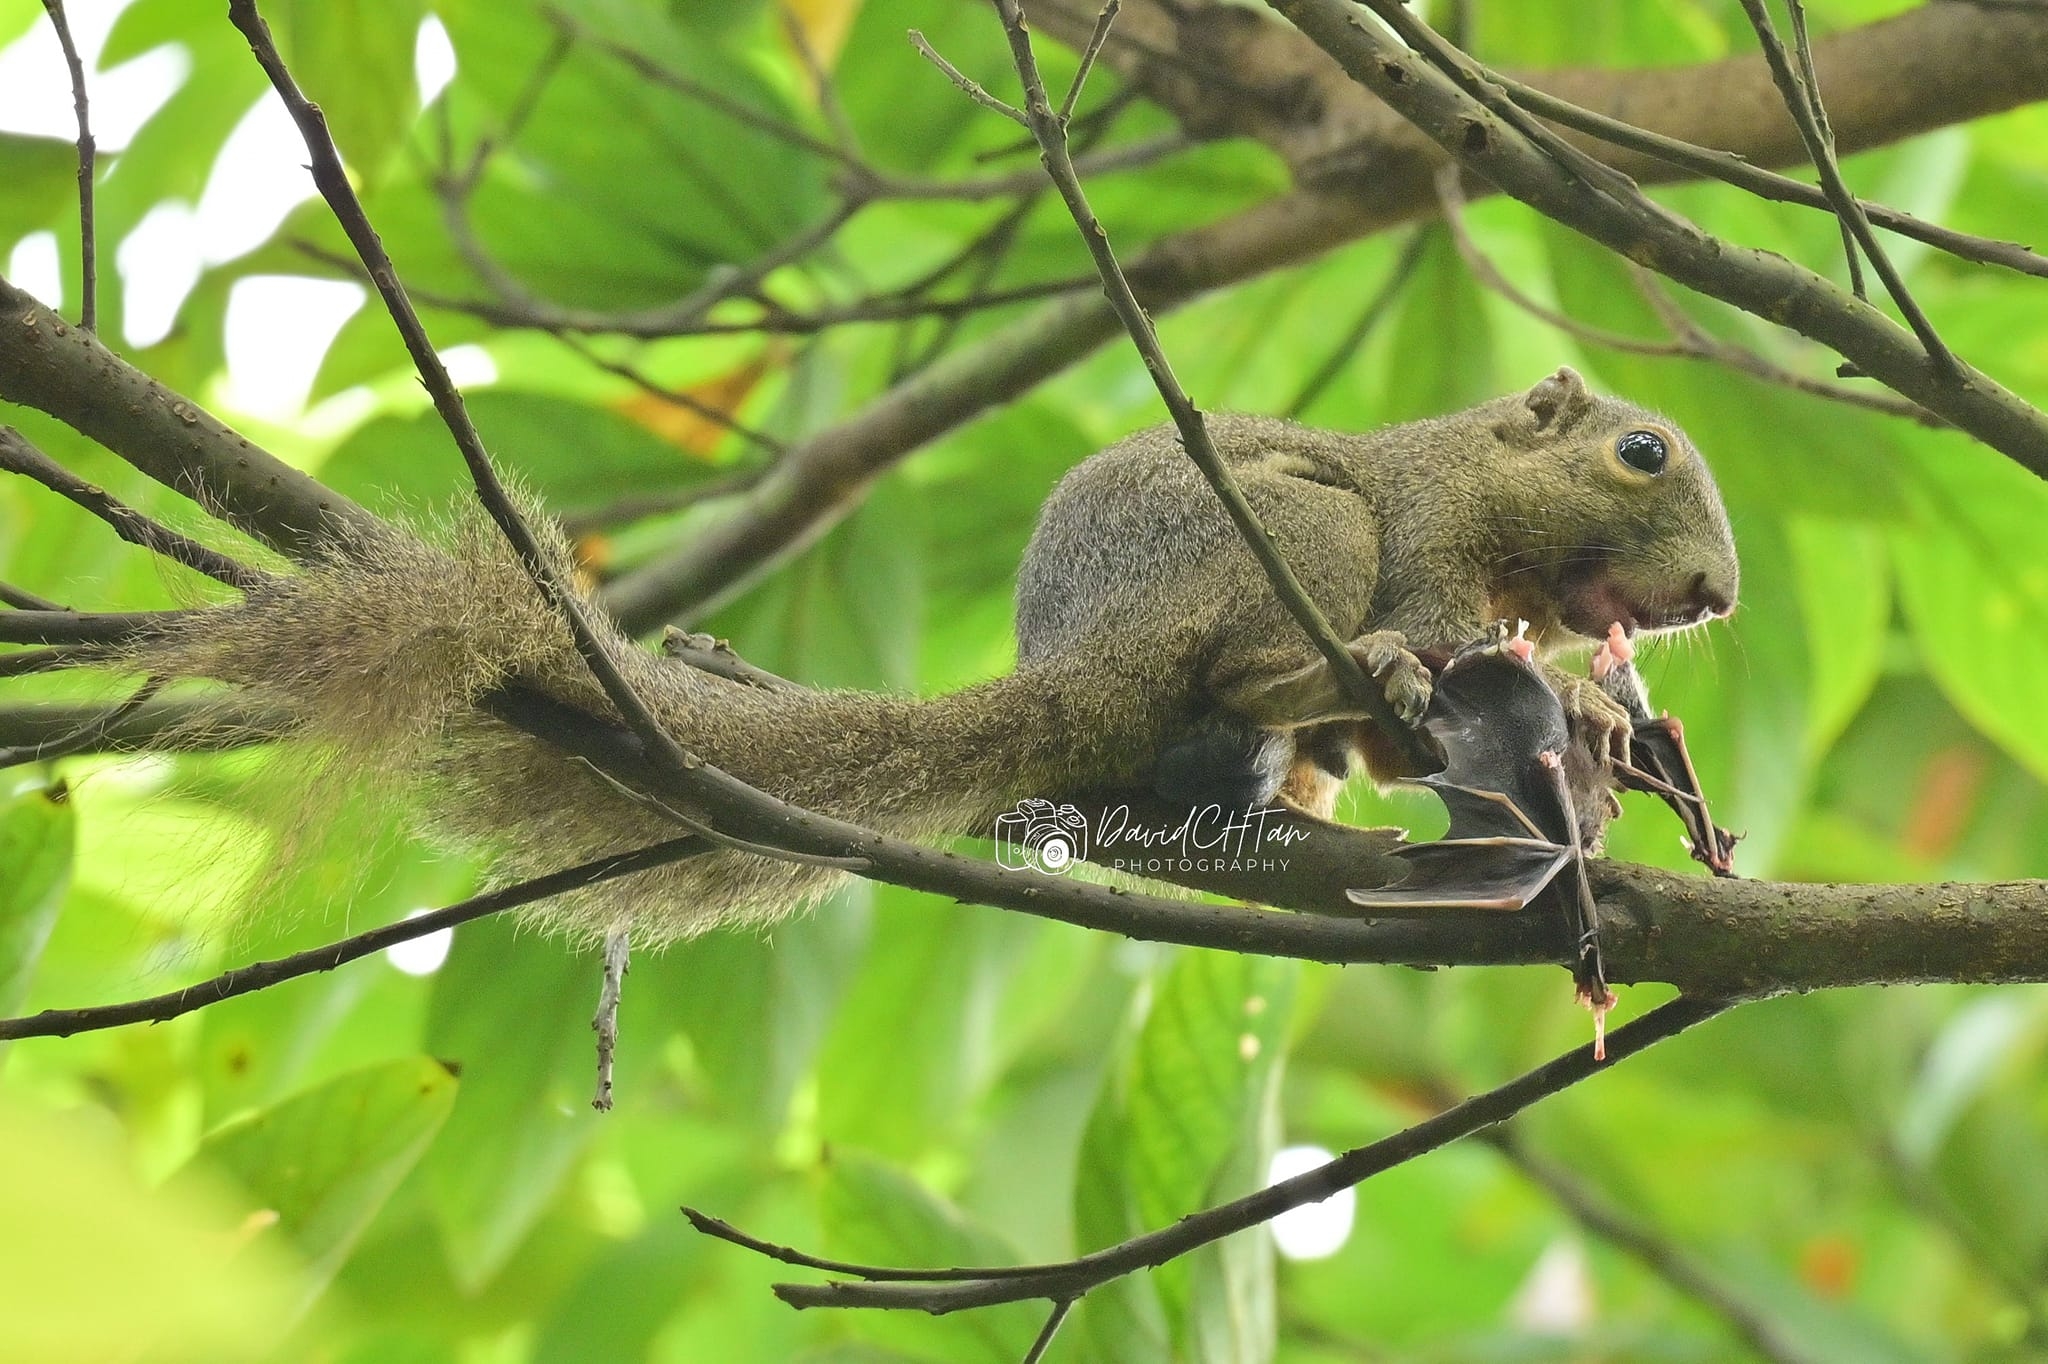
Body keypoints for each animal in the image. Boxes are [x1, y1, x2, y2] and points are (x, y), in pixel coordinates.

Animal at [119, 360, 1736, 942]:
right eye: (1642, 453)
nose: (1716, 593)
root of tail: (1084, 662)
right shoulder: (1418, 535)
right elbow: (1436, 643)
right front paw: (1533, 712)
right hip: (1287, 532)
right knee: (1242, 669)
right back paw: (1324, 683)